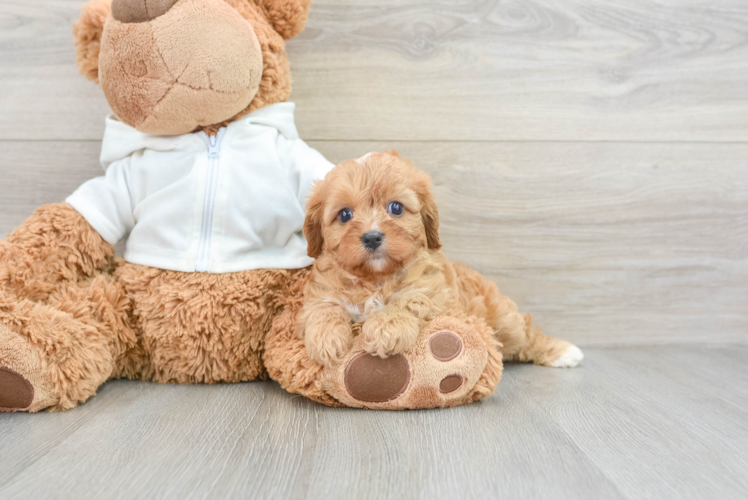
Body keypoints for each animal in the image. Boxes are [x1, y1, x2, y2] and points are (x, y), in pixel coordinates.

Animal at [298, 152, 584, 372]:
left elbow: (409, 299)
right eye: (344, 215)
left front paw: (386, 327)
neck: (376, 279)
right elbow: (324, 307)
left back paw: (563, 352)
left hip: (505, 320)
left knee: (526, 334)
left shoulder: (435, 294)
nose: (372, 237)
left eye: (396, 208)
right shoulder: (321, 291)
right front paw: (326, 339)